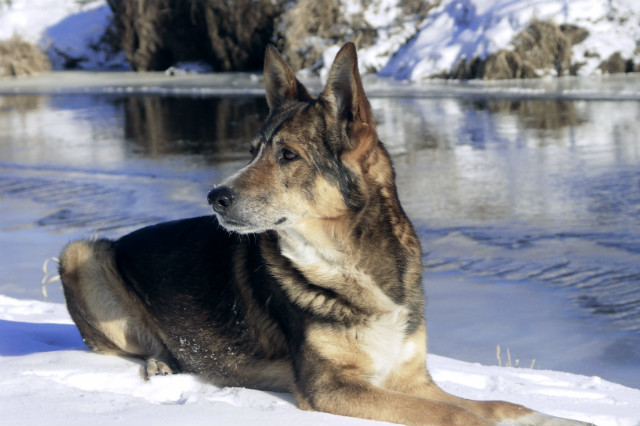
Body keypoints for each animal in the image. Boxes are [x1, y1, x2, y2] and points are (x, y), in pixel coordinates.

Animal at [57, 43, 592, 426]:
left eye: (288, 155)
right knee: (129, 345)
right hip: (81, 252)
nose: (214, 197)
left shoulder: (411, 378)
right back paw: (160, 365)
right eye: (253, 151)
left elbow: (501, 406)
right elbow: (459, 417)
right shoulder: (331, 387)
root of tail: (125, 239)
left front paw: (561, 419)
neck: (349, 262)